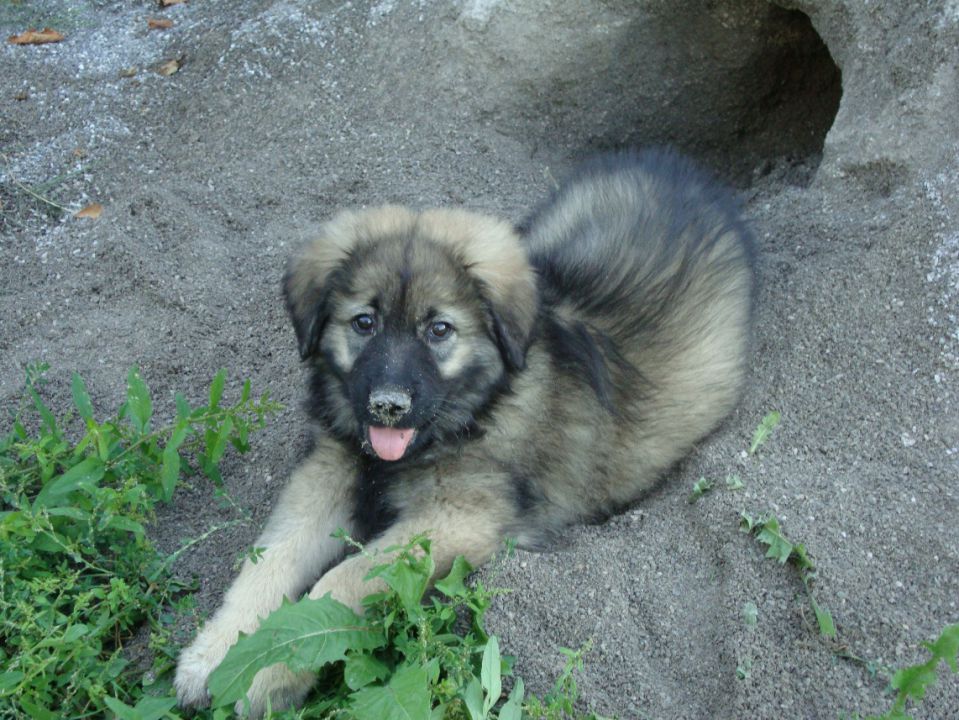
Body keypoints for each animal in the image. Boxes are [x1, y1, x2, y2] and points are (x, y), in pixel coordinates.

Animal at [174, 150, 756, 716]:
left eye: (439, 329)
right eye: (364, 322)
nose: (387, 406)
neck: (472, 412)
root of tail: (684, 169)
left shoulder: (456, 518)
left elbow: (343, 578)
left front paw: (274, 672)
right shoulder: (329, 470)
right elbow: (269, 558)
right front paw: (214, 654)